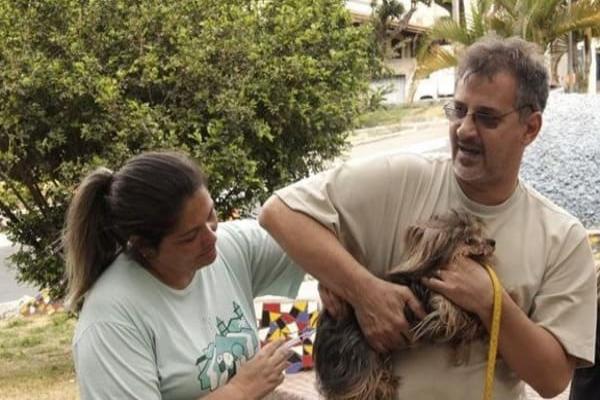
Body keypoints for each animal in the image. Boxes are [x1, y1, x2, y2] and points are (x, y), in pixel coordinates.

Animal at [314, 211, 496, 398]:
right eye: (469, 240)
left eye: (480, 233)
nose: (492, 242)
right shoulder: (441, 308)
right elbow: (460, 316)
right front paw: (478, 326)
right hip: (356, 355)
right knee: (359, 385)